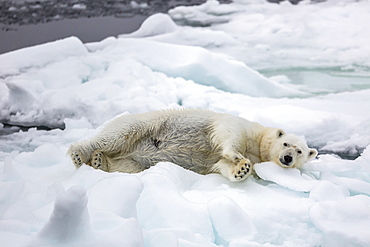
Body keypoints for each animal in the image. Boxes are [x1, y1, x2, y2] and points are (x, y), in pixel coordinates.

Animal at [68, 109, 316, 181]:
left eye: (300, 151)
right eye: (286, 143)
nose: (287, 158)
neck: (259, 143)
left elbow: (221, 166)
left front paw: (241, 169)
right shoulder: (243, 127)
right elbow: (229, 134)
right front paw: (237, 156)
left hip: (136, 161)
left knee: (129, 165)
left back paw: (100, 160)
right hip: (143, 124)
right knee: (114, 135)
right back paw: (79, 154)